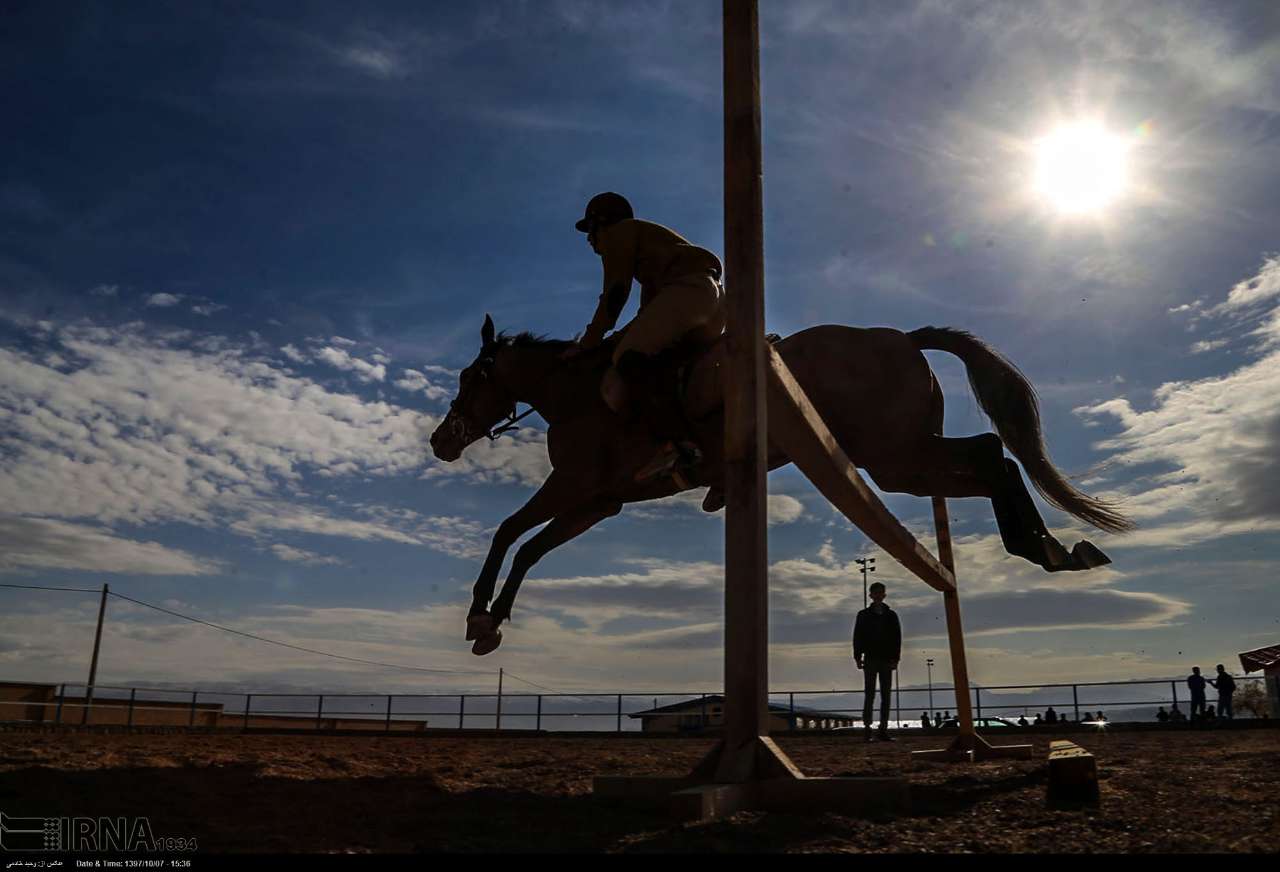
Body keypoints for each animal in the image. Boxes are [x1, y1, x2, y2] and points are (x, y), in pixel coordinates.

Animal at [430, 314, 1131, 653]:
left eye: (468, 378)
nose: (440, 441)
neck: (575, 393)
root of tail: (903, 338)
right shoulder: (599, 502)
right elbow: (530, 548)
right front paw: (490, 621)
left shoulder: (574, 486)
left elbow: (509, 533)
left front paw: (479, 613)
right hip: (900, 461)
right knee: (993, 459)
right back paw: (1054, 550)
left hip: (893, 457)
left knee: (991, 455)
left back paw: (1043, 548)